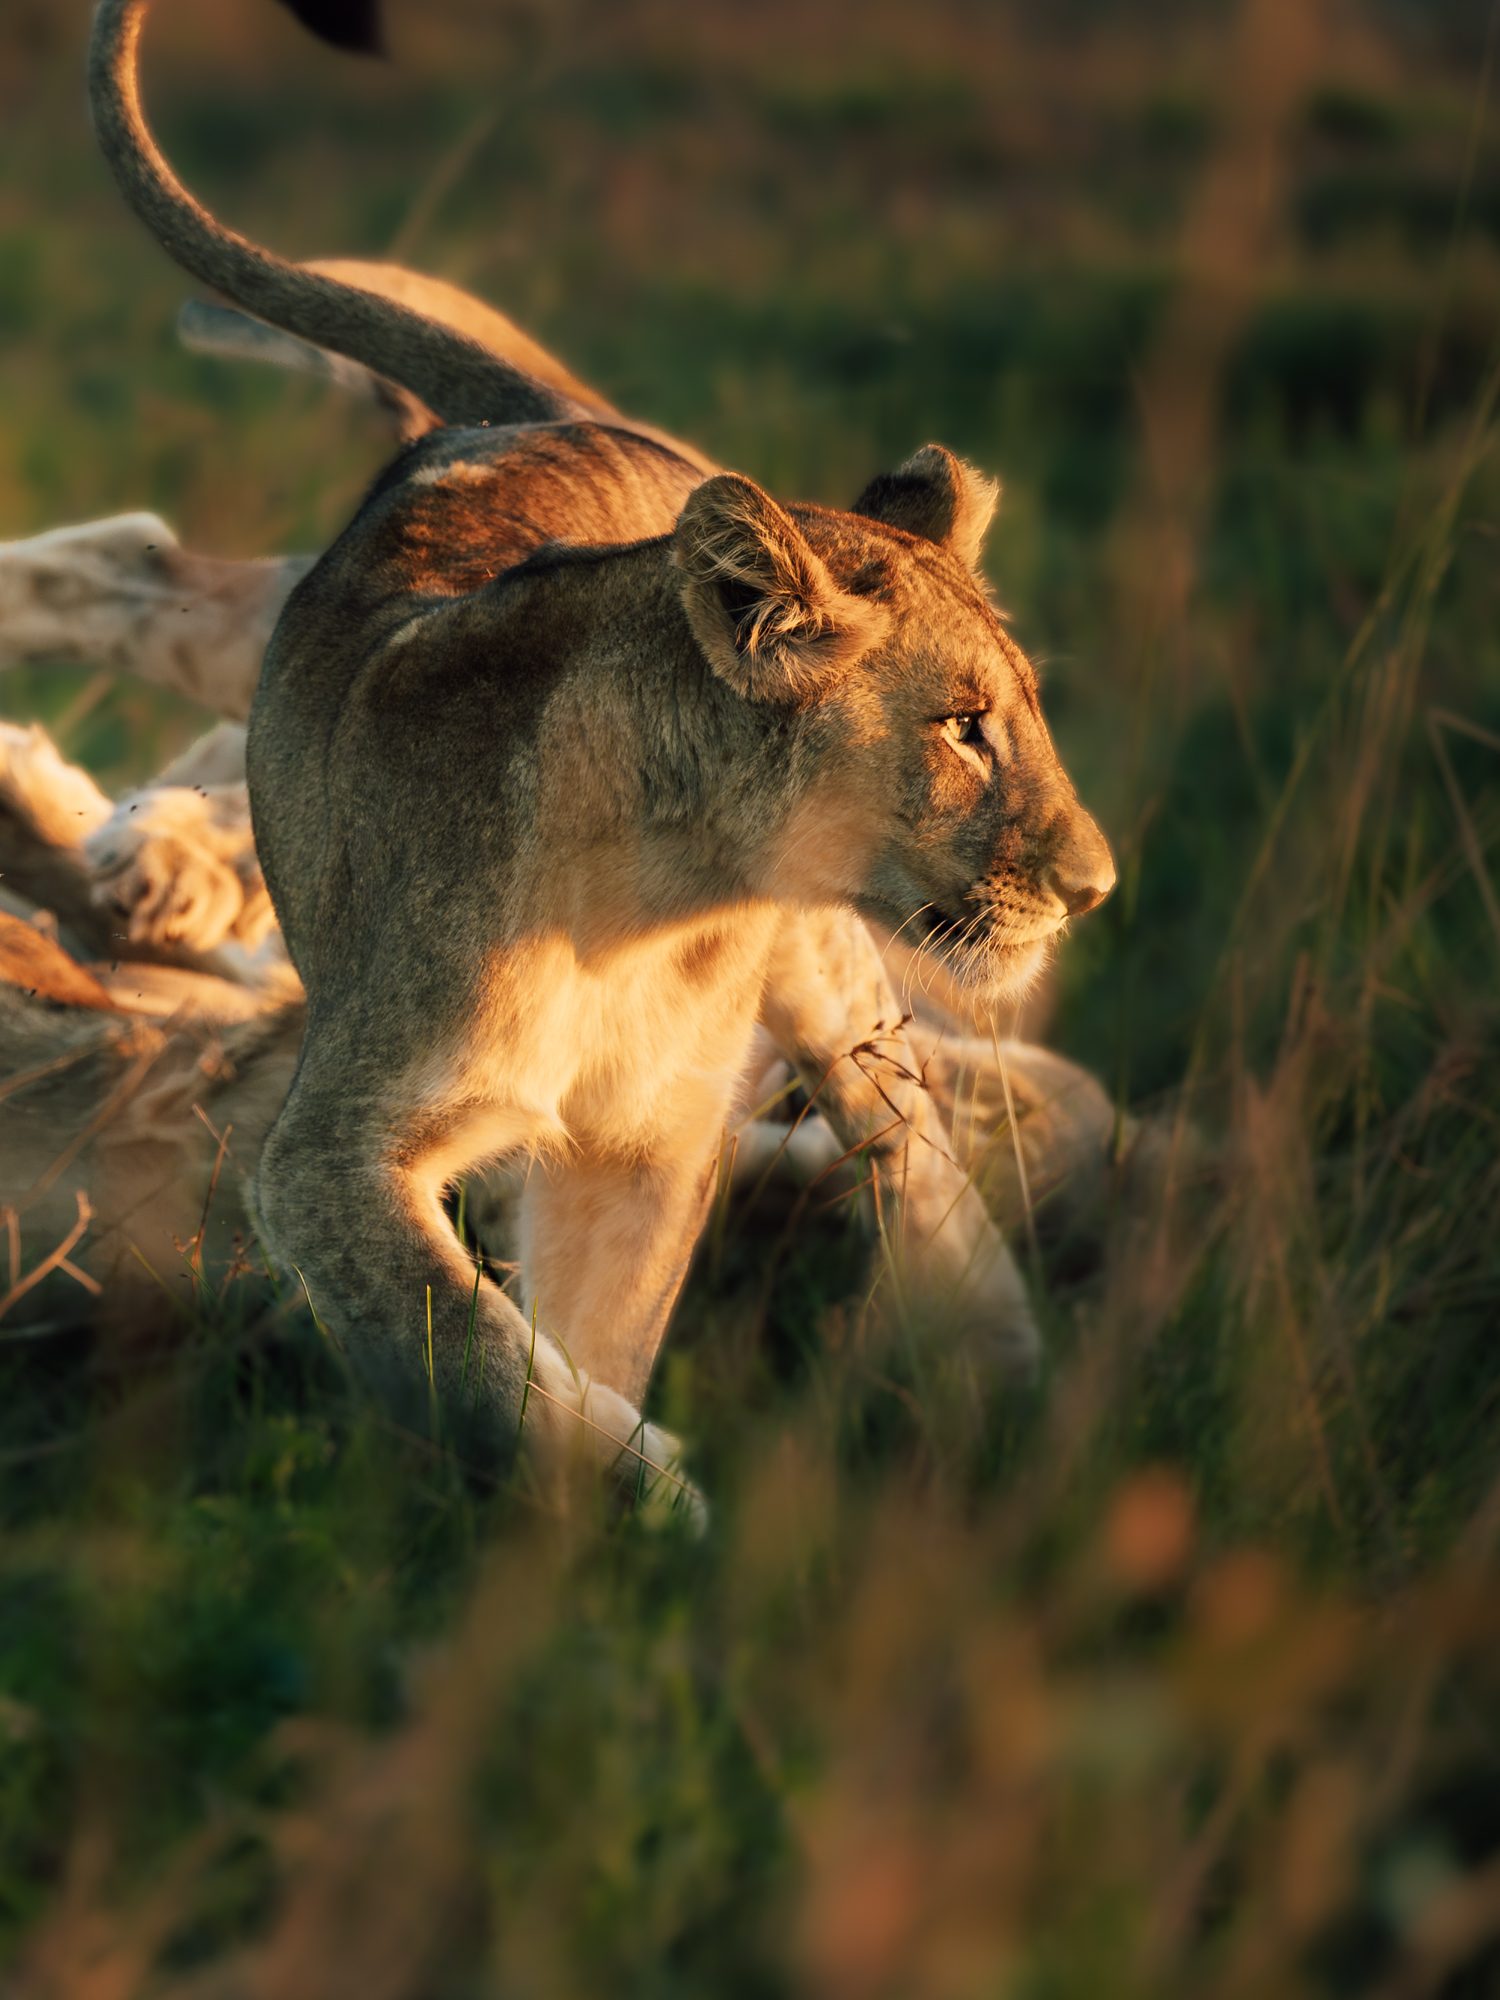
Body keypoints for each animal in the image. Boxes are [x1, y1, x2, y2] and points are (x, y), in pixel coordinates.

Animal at [85, 0, 1115, 1508]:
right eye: (961, 726)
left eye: (1016, 713)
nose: (1099, 884)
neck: (662, 896)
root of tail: (543, 414)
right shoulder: (333, 1154)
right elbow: (481, 1355)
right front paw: (641, 1500)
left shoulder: (650, 1141)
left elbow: (593, 1339)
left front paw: (606, 1526)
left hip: (834, 985)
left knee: (904, 1132)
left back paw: (999, 1366)